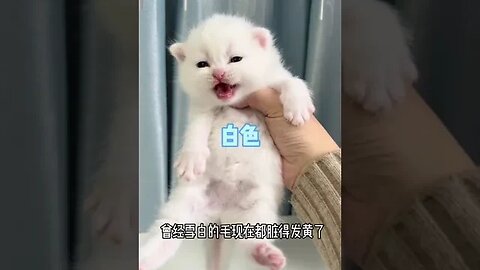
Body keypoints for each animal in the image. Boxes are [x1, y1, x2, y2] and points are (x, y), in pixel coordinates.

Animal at [139, 14, 316, 270]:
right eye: (202, 64)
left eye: (235, 59)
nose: (219, 73)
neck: (233, 104)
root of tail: (221, 216)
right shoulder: (202, 111)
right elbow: (195, 132)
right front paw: (191, 160)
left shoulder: (271, 84)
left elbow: (292, 82)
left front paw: (298, 108)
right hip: (184, 205)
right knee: (165, 236)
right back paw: (145, 258)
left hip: (258, 208)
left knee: (250, 239)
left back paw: (264, 253)